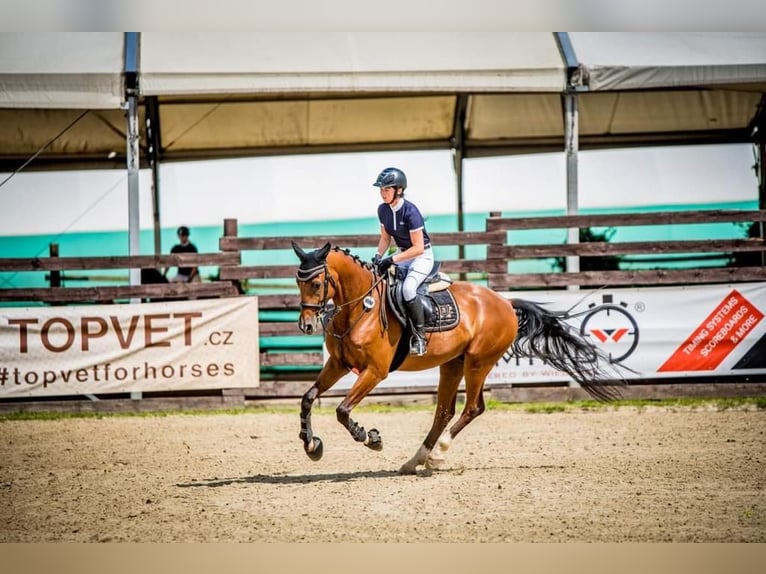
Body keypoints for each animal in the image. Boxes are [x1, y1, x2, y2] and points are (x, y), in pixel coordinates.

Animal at [292, 241, 628, 474]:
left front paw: (370, 437)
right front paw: (311, 445)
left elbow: (342, 410)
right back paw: (416, 460)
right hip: (452, 364)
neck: (360, 309)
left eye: (317, 283)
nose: (306, 325)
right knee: (444, 412)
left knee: (472, 408)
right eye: (298, 282)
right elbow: (308, 398)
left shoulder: (374, 371)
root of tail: (505, 303)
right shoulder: (338, 365)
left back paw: (437, 454)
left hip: (478, 362)